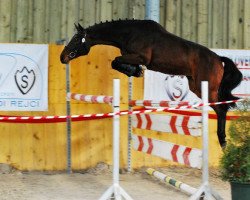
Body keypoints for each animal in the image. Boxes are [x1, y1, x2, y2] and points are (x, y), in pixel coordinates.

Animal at [60, 19, 242, 148]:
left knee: (221, 109)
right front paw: (135, 71)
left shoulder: (141, 57)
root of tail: (218, 59)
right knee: (220, 107)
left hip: (207, 88)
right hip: (196, 86)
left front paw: (136, 70)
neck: (129, 34)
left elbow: (115, 61)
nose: (63, 57)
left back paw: (222, 140)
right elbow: (117, 62)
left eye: (76, 39)